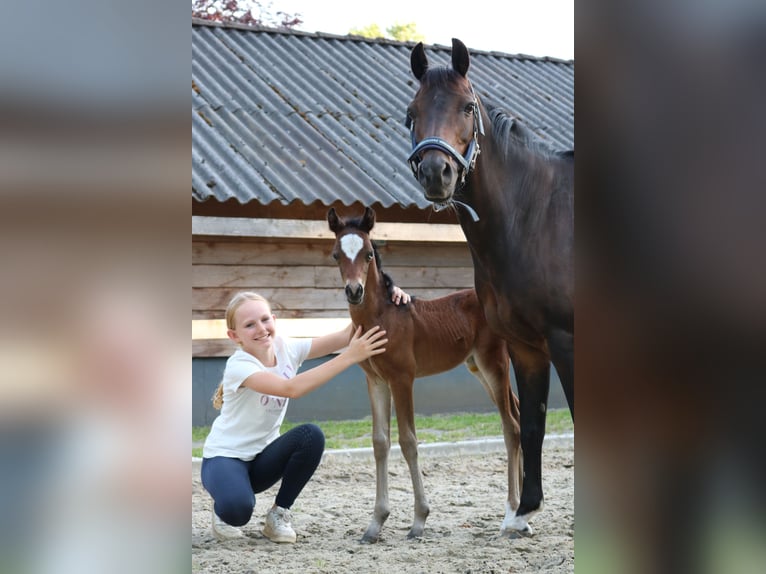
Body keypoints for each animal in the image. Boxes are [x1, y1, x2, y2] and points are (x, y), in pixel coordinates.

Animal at [327, 206, 522, 542]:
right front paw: (375, 524)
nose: (354, 291)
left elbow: (408, 441)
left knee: (510, 426)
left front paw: (419, 520)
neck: (381, 318)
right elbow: (380, 442)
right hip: (477, 368)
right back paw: (527, 509)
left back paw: (511, 514)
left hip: (494, 364)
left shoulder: (402, 379)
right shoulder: (376, 381)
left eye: (368, 254)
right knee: (521, 418)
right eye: (337, 254)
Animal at [405, 38, 574, 535]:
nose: (436, 173)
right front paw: (525, 510)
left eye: (467, 106)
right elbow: (532, 423)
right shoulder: (525, 346)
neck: (534, 216)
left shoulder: (566, 340)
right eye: (411, 112)